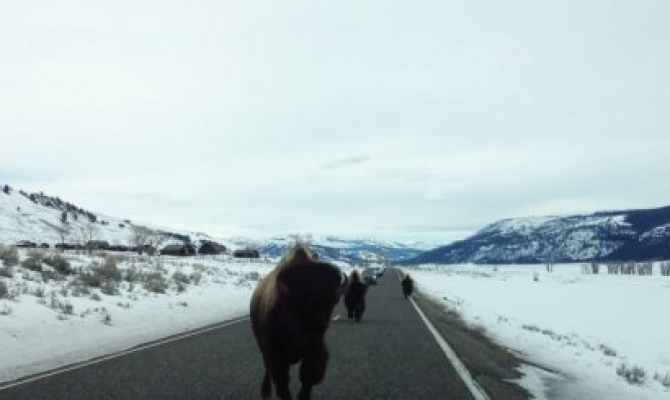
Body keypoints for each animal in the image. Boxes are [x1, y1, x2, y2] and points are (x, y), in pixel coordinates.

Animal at [250, 244, 347, 400]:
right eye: (297, 303)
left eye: (332, 301)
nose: (319, 324)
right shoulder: (275, 355)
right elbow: (282, 384)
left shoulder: (314, 350)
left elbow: (308, 376)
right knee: (267, 370)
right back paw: (265, 392)